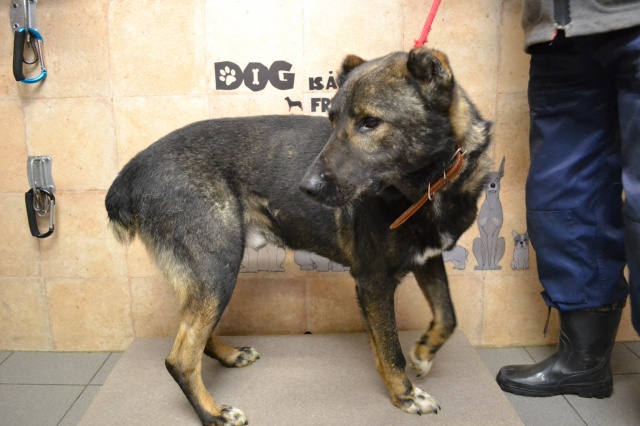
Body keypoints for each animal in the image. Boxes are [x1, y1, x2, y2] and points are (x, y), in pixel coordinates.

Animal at [105, 47, 492, 426]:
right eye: (332, 120)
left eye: (370, 122)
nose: (306, 187)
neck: (430, 186)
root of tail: (130, 172)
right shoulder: (373, 280)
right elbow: (391, 349)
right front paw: (406, 396)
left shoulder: (428, 258)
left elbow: (447, 316)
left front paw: (424, 353)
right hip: (217, 267)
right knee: (180, 357)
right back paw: (214, 414)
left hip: (204, 277)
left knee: (192, 335)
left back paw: (229, 356)